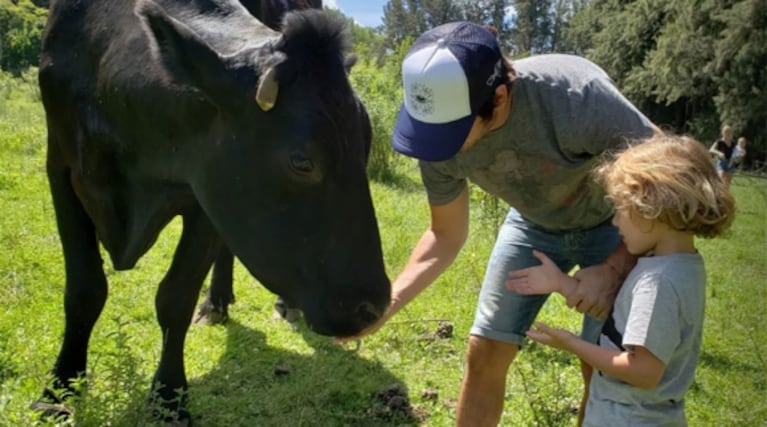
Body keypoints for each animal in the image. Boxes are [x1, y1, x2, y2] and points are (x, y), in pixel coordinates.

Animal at [34, 0, 390, 422]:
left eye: (366, 146)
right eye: (302, 162)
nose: (373, 306)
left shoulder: (206, 190)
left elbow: (176, 297)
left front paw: (170, 397)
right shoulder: (60, 165)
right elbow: (84, 291)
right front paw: (59, 389)